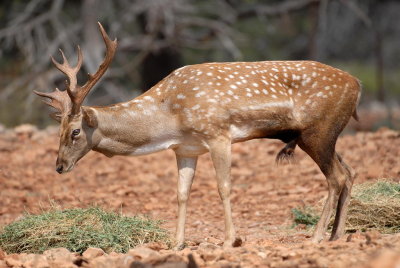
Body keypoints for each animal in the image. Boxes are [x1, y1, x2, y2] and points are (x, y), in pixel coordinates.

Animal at [36, 22, 362, 249]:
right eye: (59, 130)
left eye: (75, 131)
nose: (59, 166)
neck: (169, 117)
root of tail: (357, 84)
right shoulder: (185, 149)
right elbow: (182, 194)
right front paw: (177, 243)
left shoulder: (218, 134)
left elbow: (224, 187)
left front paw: (231, 240)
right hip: (323, 135)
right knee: (349, 171)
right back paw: (336, 235)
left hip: (318, 131)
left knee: (336, 177)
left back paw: (317, 237)